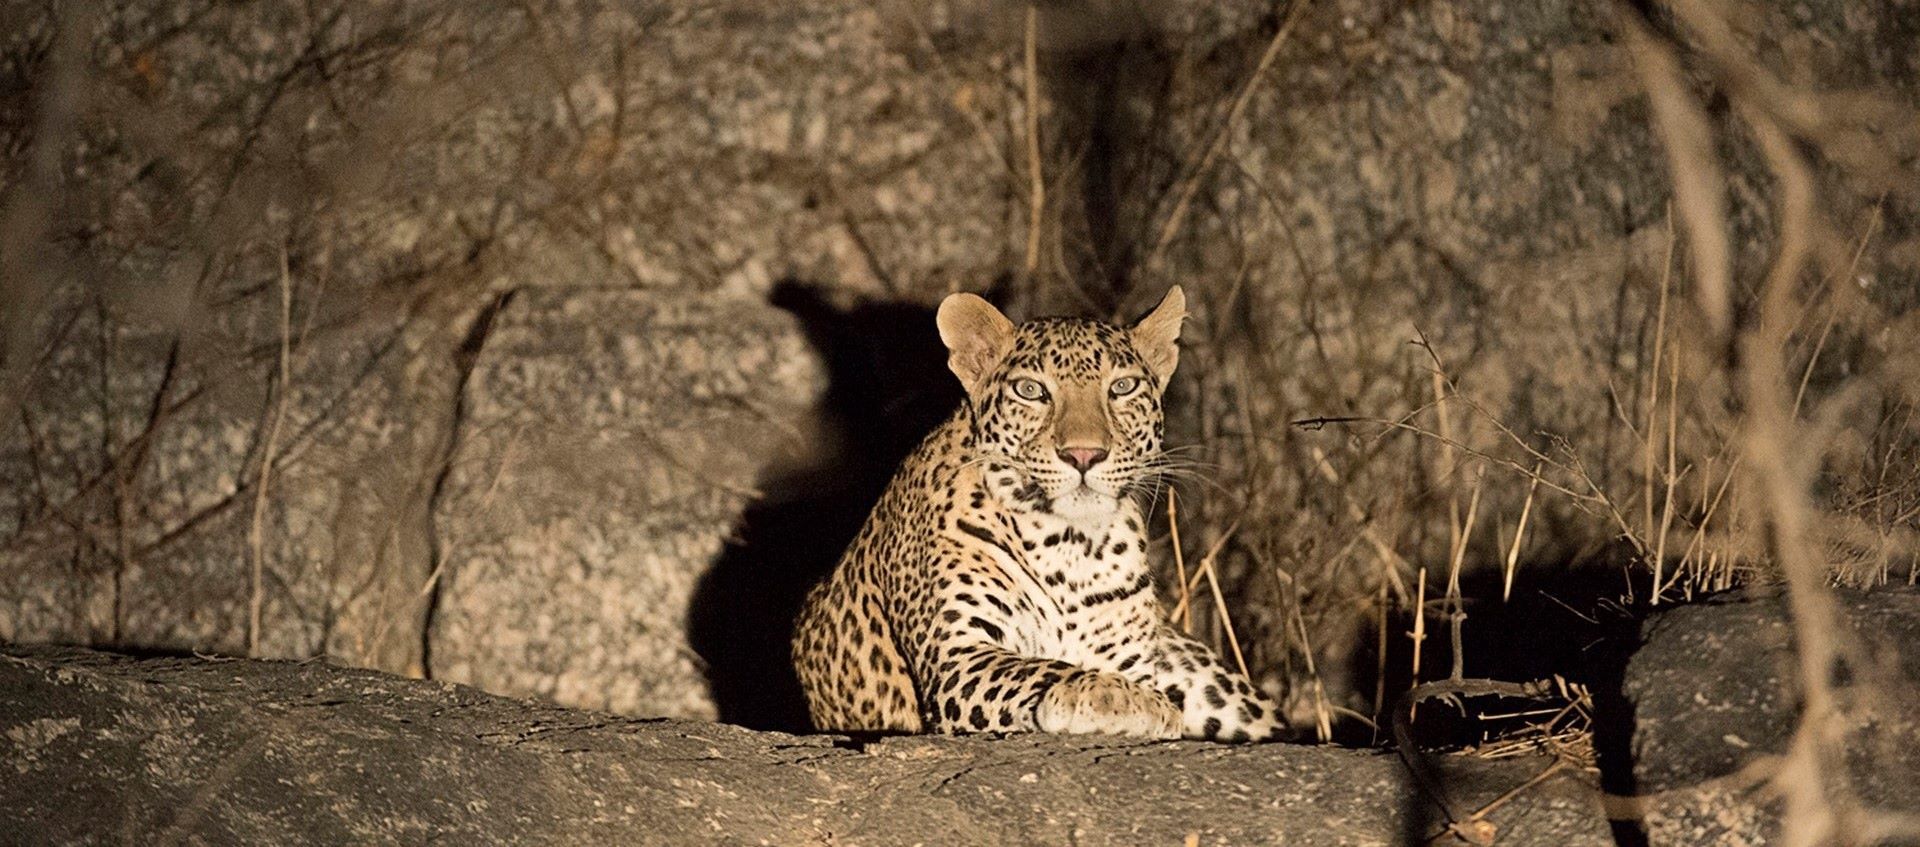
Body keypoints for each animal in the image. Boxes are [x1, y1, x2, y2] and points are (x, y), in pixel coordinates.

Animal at [790, 286, 1287, 742]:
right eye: (1031, 391)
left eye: (1122, 388)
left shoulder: (1131, 655)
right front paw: (1113, 695)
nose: (1084, 455)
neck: (1072, 545)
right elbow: (1038, 667)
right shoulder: (957, 656)